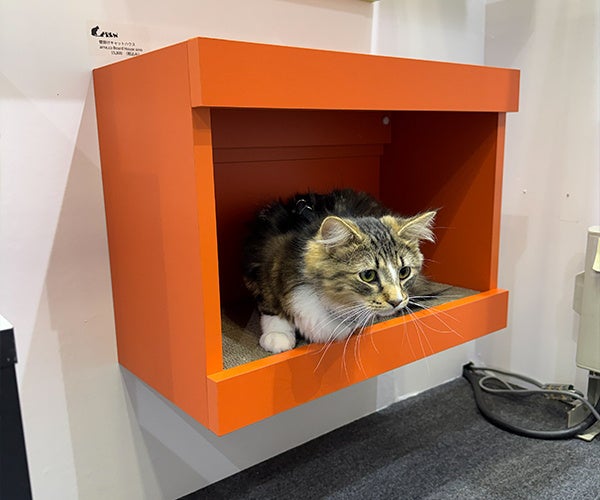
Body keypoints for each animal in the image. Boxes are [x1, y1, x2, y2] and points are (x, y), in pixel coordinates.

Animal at [242, 189, 436, 354]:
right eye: (368, 275)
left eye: (404, 272)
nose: (396, 302)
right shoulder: (263, 260)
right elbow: (271, 305)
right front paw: (277, 335)